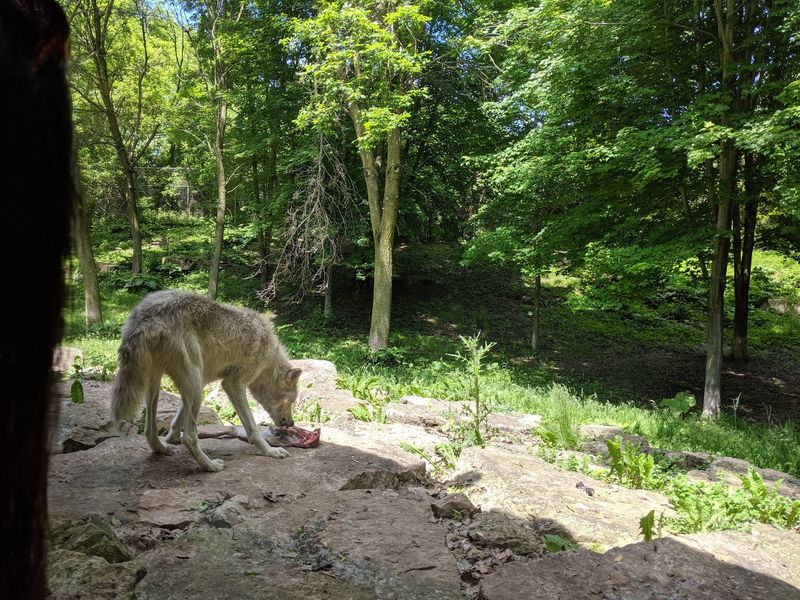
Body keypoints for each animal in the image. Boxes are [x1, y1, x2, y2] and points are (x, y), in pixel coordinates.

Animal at [111, 289, 302, 472]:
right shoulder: (233, 384)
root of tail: (144, 317)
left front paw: (172, 439)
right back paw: (210, 466)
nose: (291, 424)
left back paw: (162, 449)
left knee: (150, 431)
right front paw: (270, 452)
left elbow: (176, 421)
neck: (269, 359)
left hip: (162, 383)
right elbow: (252, 427)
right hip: (194, 385)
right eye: (291, 401)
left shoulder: (204, 382)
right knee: (189, 436)